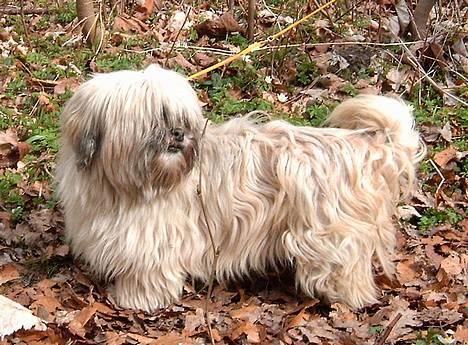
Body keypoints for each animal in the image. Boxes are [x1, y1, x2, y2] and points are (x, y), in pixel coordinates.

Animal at [56, 63, 426, 310]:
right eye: (153, 118)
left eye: (178, 117)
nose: (178, 133)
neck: (123, 186)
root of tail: (367, 146)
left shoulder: (152, 244)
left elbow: (148, 275)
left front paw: (134, 299)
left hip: (326, 236)